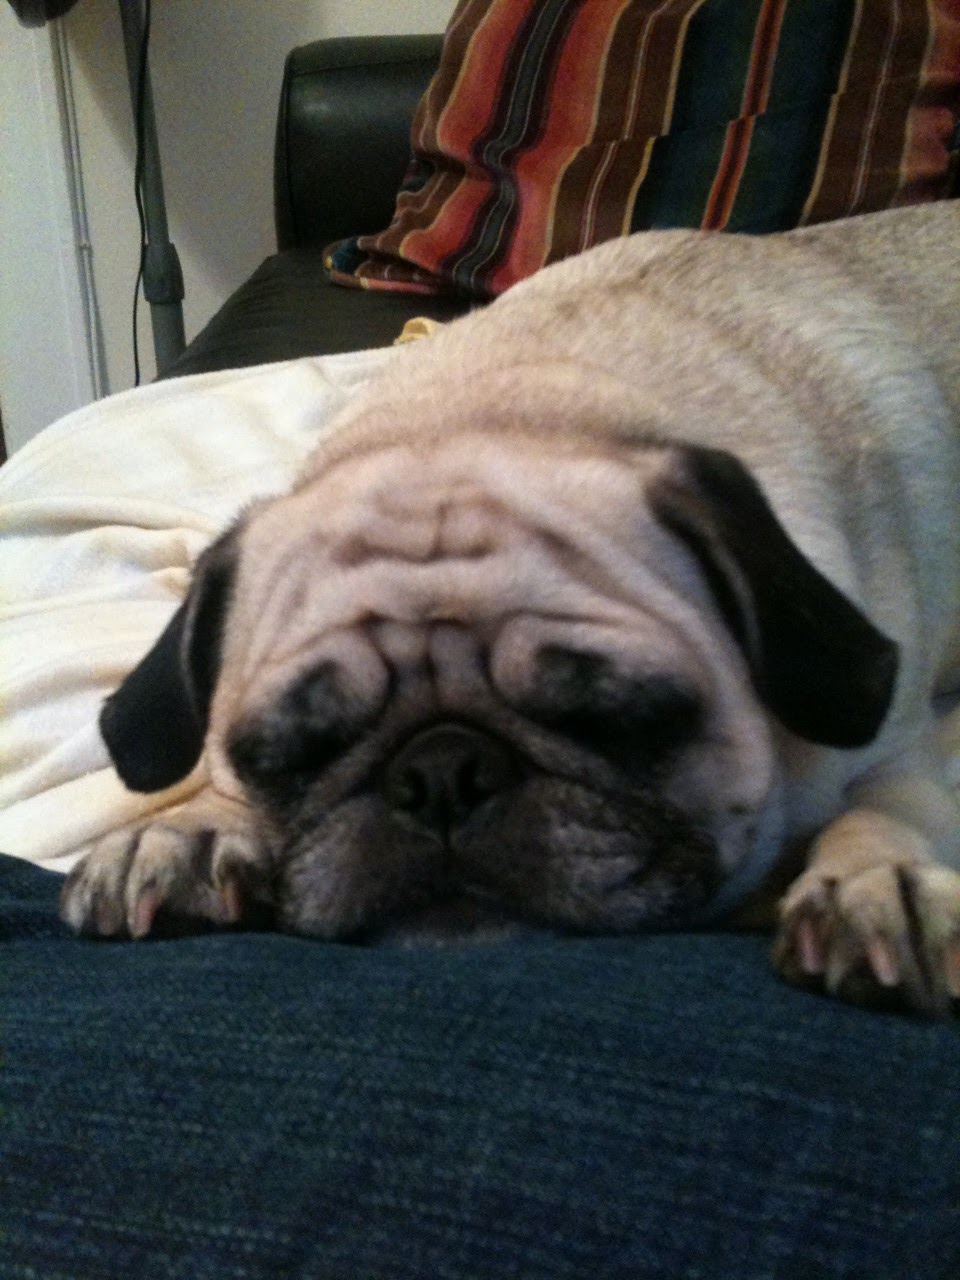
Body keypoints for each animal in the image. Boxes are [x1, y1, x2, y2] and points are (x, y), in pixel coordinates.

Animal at [60, 201, 960, 1016]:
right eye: (288, 756)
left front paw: (873, 876)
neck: (500, 406)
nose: (440, 775)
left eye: (618, 720)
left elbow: (894, 799)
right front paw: (192, 827)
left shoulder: (900, 735)